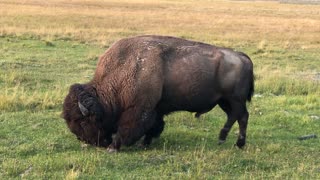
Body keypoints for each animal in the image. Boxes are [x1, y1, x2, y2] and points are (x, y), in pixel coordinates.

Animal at [62, 35, 255, 152]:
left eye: (81, 120)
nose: (82, 139)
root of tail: (242, 56)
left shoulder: (139, 109)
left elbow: (128, 127)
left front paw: (114, 147)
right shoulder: (156, 109)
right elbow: (155, 125)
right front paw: (146, 143)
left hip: (235, 100)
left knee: (242, 117)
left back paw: (237, 143)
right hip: (224, 101)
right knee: (234, 116)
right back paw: (224, 140)